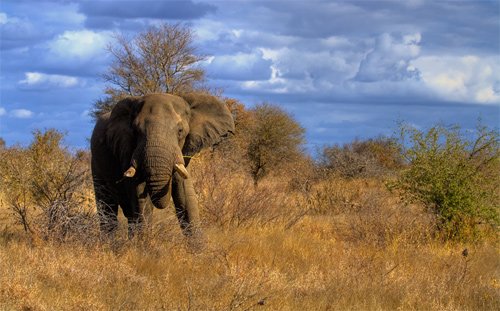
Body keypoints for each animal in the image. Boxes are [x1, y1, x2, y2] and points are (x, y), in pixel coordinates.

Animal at [90, 92, 234, 239]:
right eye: (136, 131)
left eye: (180, 131)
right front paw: (143, 243)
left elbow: (186, 195)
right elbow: (139, 195)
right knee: (107, 207)